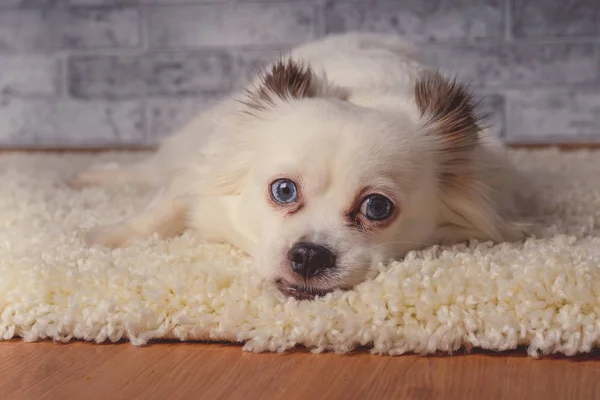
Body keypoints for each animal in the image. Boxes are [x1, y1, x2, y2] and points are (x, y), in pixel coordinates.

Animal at [74, 32, 524, 300]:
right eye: (284, 190)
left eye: (377, 207)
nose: (309, 255)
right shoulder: (198, 173)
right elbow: (159, 211)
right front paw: (103, 237)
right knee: (146, 171)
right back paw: (90, 175)